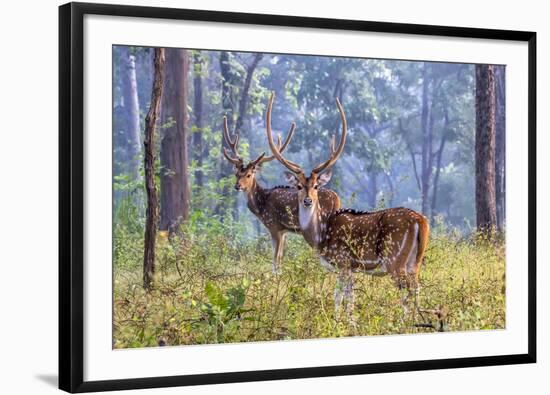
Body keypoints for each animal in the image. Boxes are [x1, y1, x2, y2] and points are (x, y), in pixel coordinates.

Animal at [222, 110, 342, 274]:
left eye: (249, 175)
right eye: (236, 174)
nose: (237, 186)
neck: (261, 206)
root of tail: (337, 199)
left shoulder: (274, 226)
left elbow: (275, 261)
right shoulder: (284, 231)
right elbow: (280, 259)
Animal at [266, 93, 432, 318]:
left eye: (316, 186)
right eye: (299, 186)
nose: (308, 200)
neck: (321, 237)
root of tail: (421, 221)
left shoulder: (343, 262)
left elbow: (345, 299)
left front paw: (343, 322)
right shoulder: (350, 268)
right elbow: (342, 298)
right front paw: (341, 321)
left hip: (395, 260)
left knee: (406, 292)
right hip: (416, 261)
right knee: (416, 288)